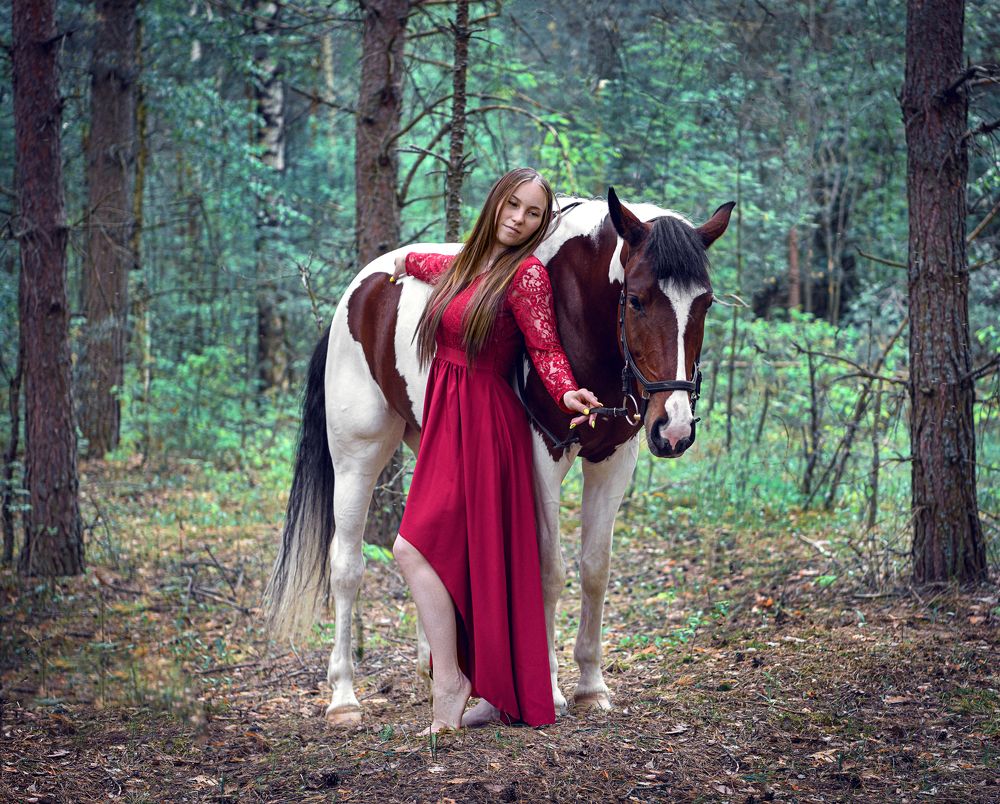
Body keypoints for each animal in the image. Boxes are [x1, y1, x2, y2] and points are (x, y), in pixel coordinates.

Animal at [264, 188, 733, 723]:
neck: (578, 311)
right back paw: (344, 696)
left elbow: (595, 568)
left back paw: (436, 672)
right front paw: (548, 688)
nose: (673, 428)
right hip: (356, 454)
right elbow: (548, 570)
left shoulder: (614, 459)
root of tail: (360, 291)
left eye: (705, 303)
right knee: (346, 566)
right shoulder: (542, 455)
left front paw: (591, 686)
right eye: (636, 300)